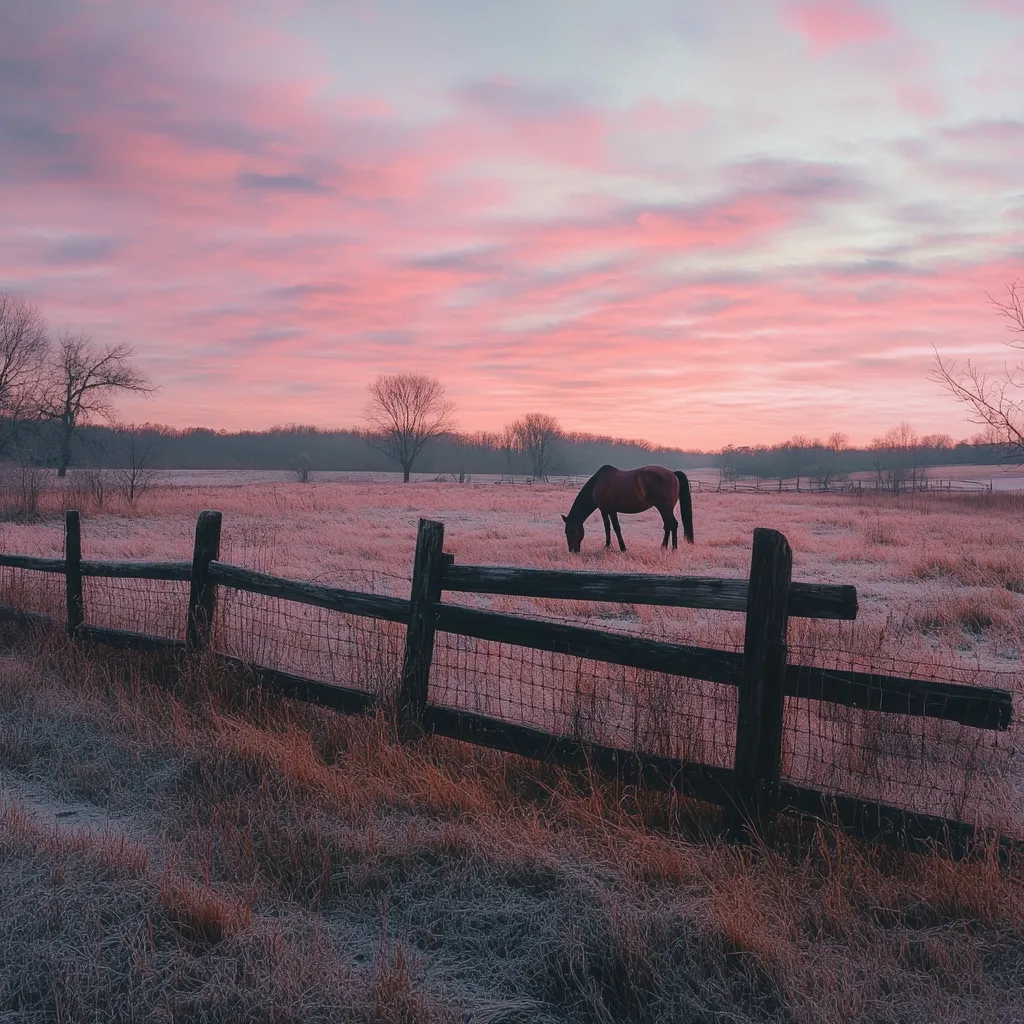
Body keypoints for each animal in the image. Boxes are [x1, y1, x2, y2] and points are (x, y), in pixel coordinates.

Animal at [561, 465, 694, 553]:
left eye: (573, 531)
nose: (573, 550)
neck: (597, 484)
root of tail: (673, 473)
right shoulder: (606, 510)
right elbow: (608, 528)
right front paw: (609, 547)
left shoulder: (609, 510)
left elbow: (614, 528)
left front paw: (621, 548)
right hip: (667, 509)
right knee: (668, 525)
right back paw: (664, 547)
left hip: (664, 508)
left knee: (672, 524)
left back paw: (673, 549)